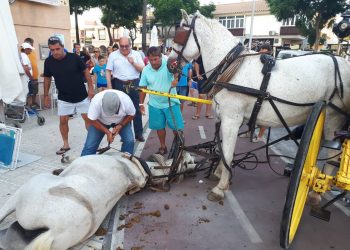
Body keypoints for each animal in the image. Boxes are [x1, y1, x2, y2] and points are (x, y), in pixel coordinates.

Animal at [0, 152, 196, 250]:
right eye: (187, 162)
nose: (192, 159)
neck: (137, 168)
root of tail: (53, 232)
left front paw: (64, 161)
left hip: (23, 193)